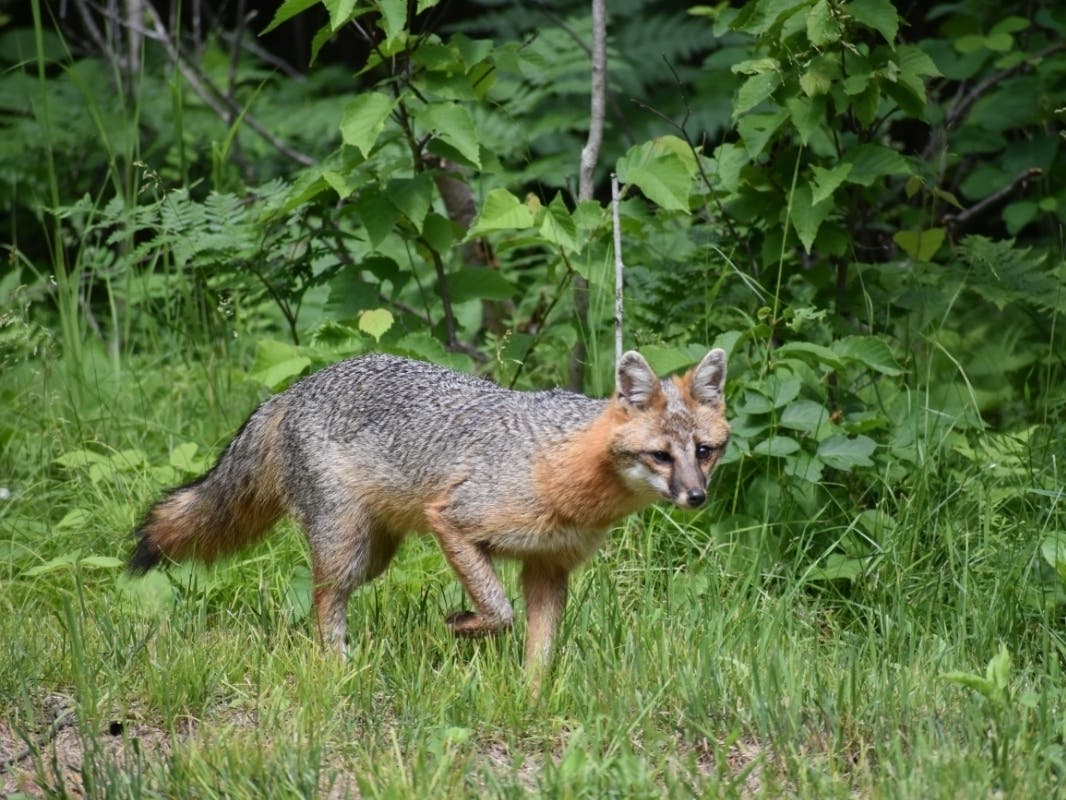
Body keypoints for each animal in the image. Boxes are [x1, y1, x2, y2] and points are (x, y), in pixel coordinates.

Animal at [128, 348, 729, 673]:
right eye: (660, 456)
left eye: (705, 451)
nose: (696, 497)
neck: (561, 466)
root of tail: (293, 389)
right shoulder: (454, 521)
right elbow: (499, 612)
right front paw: (462, 624)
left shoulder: (548, 566)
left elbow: (540, 650)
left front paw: (532, 697)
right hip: (347, 549)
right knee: (324, 602)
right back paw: (337, 668)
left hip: (374, 557)